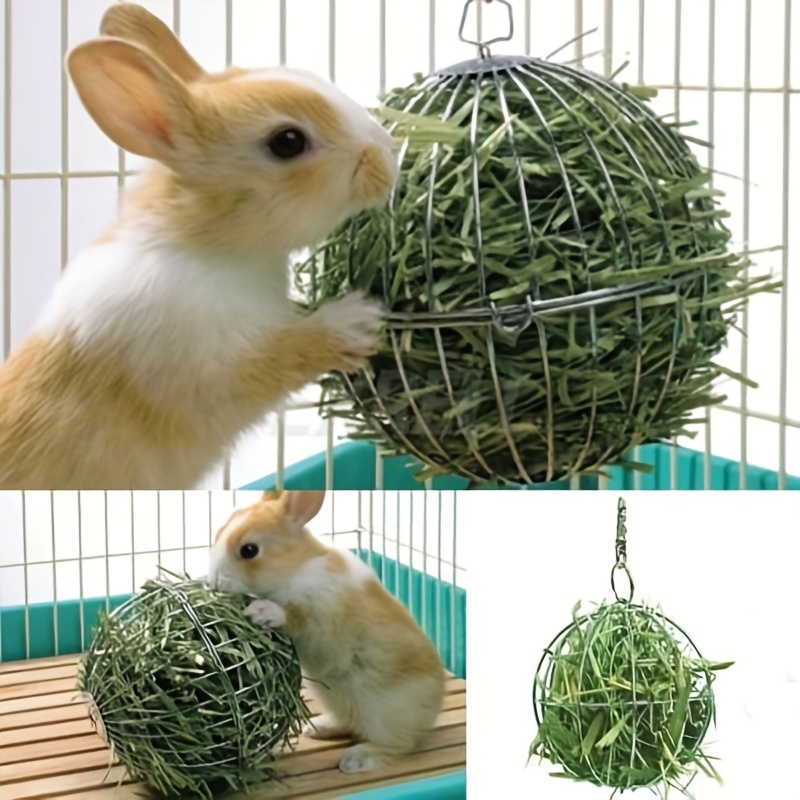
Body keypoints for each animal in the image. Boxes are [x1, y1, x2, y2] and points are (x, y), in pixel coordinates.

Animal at [0, 3, 400, 490]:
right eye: (287, 142)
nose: (389, 151)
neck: (207, 245)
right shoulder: (210, 367)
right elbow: (284, 354)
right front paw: (357, 319)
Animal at [206, 490, 446, 772]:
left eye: (249, 550)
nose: (212, 581)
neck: (296, 568)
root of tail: (433, 711)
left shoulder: (322, 620)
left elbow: (295, 617)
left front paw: (261, 611)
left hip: (385, 715)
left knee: (399, 745)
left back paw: (355, 760)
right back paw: (317, 728)